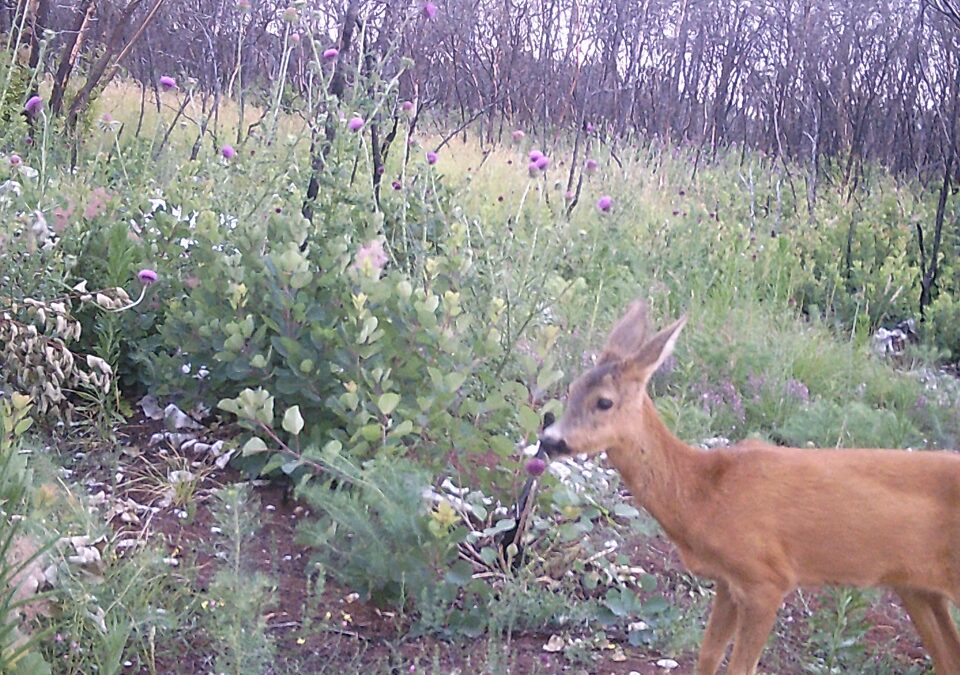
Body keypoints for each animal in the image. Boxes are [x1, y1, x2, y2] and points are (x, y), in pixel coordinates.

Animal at [536, 302, 960, 675]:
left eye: (604, 402)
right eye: (572, 389)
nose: (550, 440)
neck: (704, 494)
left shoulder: (767, 578)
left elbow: (741, 666)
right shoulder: (728, 581)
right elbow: (707, 656)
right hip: (917, 589)